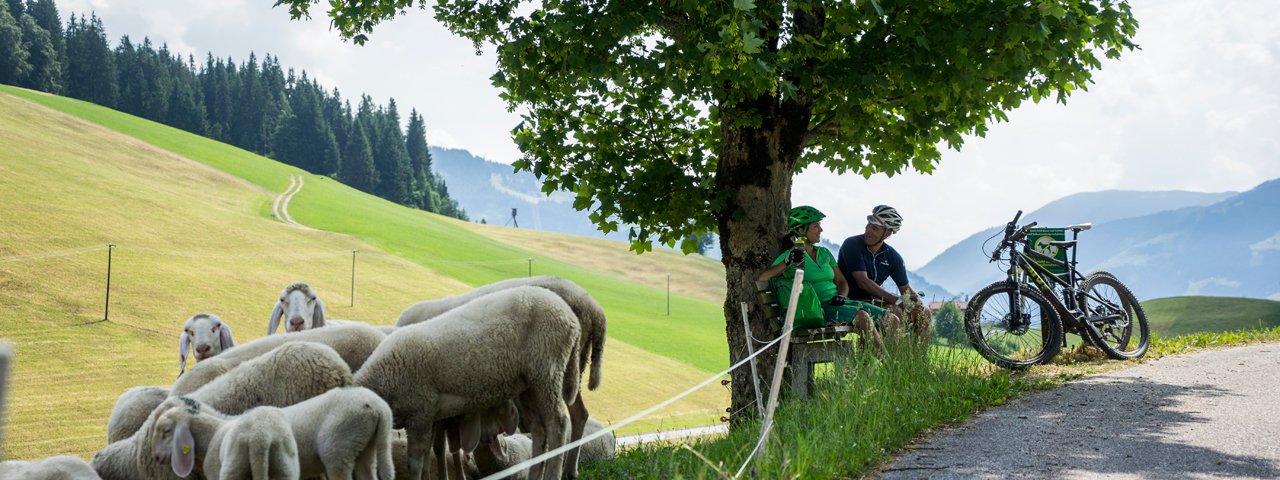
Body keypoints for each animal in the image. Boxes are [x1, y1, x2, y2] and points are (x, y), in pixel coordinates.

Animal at [358, 285, 583, 480]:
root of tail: (570, 316)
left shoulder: (419, 413)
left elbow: (415, 462)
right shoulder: (428, 416)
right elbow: (427, 456)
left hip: (547, 370)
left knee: (558, 424)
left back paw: (554, 472)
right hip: (528, 383)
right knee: (539, 430)